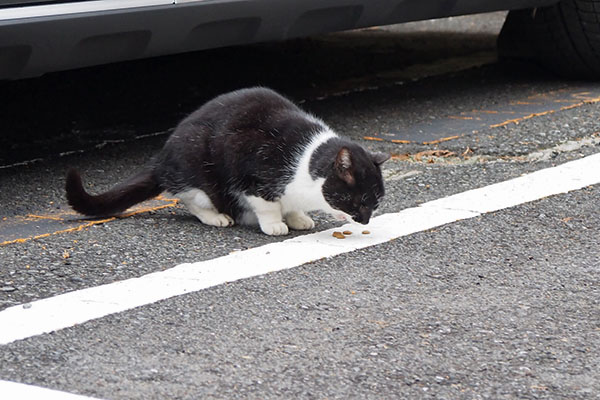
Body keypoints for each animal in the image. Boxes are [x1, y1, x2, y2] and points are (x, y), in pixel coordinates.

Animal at [65, 87, 392, 236]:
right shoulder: (248, 167)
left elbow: (291, 205)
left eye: (376, 202)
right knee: (191, 198)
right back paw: (218, 217)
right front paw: (275, 223)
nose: (365, 220)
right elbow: (267, 203)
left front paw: (298, 217)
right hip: (196, 163)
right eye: (359, 200)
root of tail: (161, 159)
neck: (306, 161)